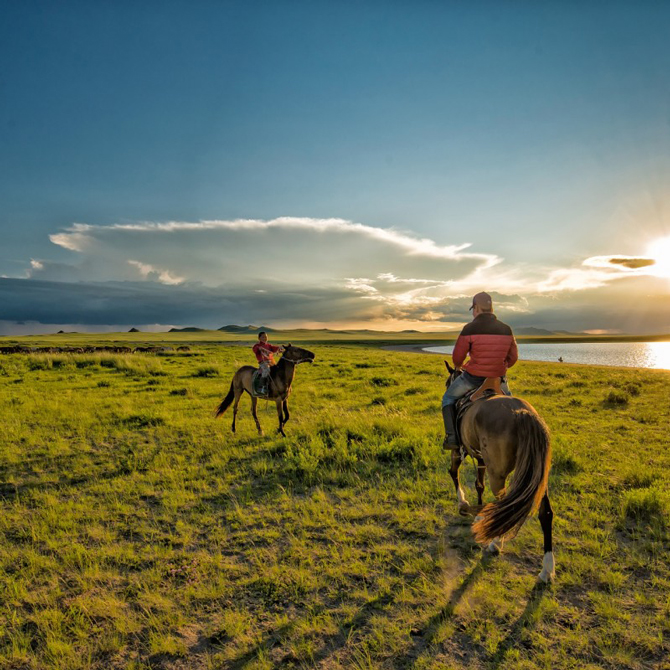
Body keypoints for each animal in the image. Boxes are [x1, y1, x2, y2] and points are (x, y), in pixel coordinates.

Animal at [446, 362, 556, 584]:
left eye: (447, 382)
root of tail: (523, 414)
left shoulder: (458, 451)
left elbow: (454, 473)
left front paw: (463, 503)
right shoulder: (480, 458)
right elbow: (479, 485)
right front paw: (479, 514)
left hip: (498, 475)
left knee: (505, 507)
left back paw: (495, 544)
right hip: (539, 478)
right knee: (546, 513)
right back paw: (547, 569)